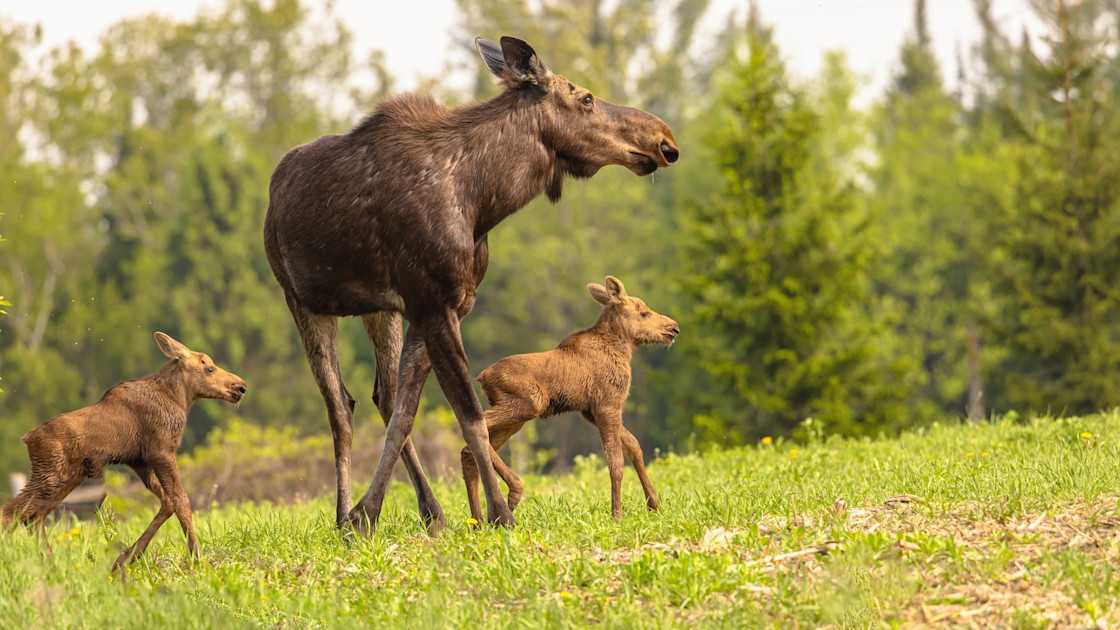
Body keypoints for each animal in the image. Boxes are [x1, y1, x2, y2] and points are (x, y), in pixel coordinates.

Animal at [1, 331, 247, 571]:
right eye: (209, 368)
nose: (241, 386)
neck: (179, 398)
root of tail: (27, 438)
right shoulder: (162, 451)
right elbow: (181, 500)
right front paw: (197, 559)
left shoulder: (140, 461)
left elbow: (167, 503)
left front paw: (126, 558)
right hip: (52, 474)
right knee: (12, 512)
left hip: (70, 477)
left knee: (34, 516)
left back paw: (53, 567)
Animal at [459, 275, 676, 520]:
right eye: (644, 313)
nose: (674, 328)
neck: (623, 349)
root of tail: (482, 377)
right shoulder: (607, 405)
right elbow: (616, 463)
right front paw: (617, 515)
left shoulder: (591, 411)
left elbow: (635, 447)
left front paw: (654, 504)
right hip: (531, 403)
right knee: (472, 430)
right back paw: (514, 492)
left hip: (516, 417)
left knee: (471, 450)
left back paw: (477, 520)